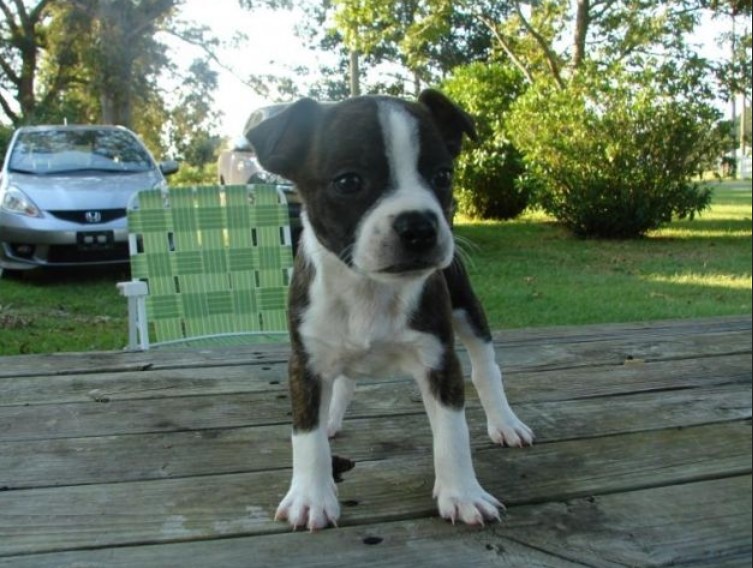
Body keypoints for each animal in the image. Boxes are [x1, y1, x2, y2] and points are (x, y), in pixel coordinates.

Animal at [247, 90, 536, 532]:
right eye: (348, 181)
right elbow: (306, 433)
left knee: (486, 368)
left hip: (467, 308)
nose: (419, 226)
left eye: (443, 176)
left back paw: (504, 422)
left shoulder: (439, 361)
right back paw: (332, 419)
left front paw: (462, 495)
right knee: (343, 383)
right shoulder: (305, 363)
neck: (369, 289)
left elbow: (452, 433)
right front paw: (310, 497)